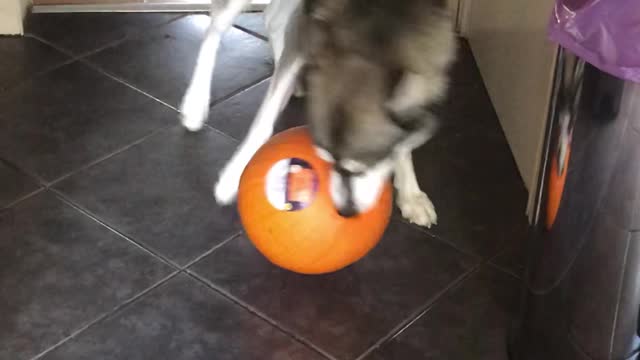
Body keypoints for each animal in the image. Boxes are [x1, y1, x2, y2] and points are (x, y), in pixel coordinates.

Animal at [182, 0, 458, 228]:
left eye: (360, 169)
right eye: (326, 159)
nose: (346, 212)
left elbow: (405, 134)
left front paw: (411, 193)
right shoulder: (309, 29)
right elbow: (264, 119)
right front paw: (233, 177)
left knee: (273, 18)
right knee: (215, 26)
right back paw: (195, 104)